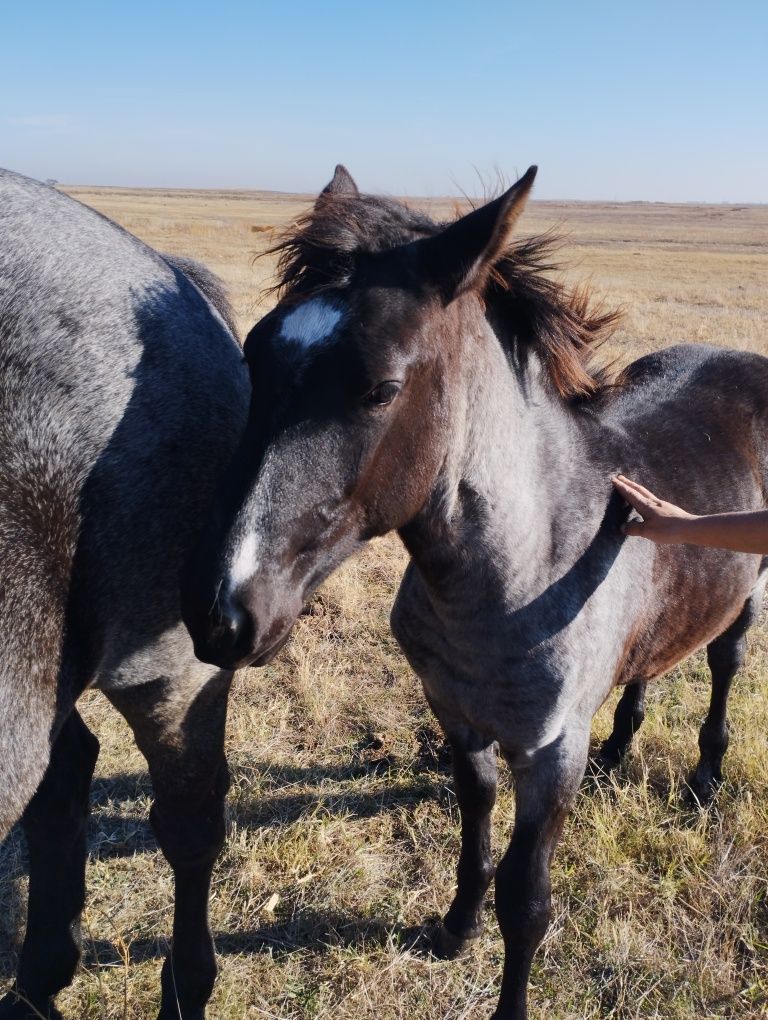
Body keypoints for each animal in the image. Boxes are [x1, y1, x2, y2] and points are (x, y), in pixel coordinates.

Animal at [184, 165, 766, 1020]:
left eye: (380, 389)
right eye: (254, 356)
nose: (220, 614)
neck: (518, 577)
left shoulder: (551, 752)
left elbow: (527, 900)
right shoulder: (456, 716)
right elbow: (473, 827)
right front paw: (455, 928)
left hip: (751, 588)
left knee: (725, 663)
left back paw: (704, 779)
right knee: (652, 661)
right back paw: (622, 744)